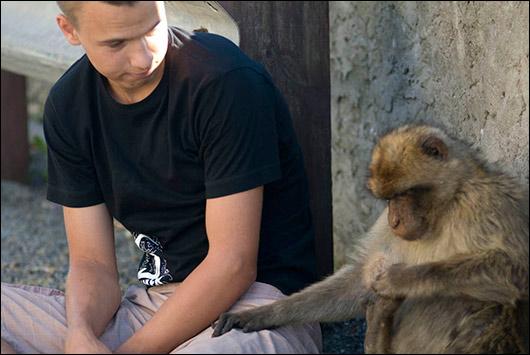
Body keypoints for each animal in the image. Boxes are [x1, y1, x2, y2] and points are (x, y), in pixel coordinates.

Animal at [211, 124, 528, 354]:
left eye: (404, 194)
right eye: (389, 199)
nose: (395, 220)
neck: (444, 208)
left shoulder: (489, 202)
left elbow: (516, 269)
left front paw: (399, 278)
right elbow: (359, 282)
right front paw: (263, 313)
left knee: (477, 300)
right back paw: (377, 334)